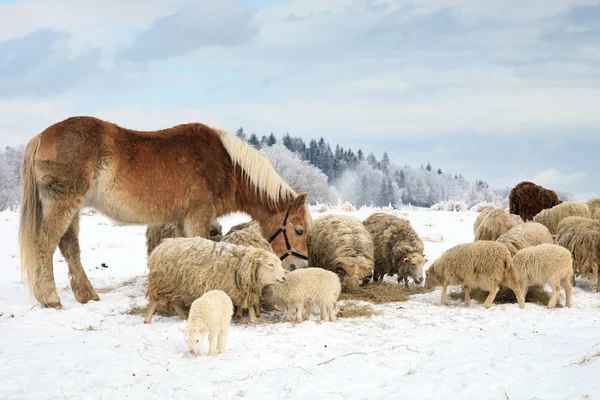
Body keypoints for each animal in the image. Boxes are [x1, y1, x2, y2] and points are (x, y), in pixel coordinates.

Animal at [18, 115, 312, 310]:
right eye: (298, 230)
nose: (299, 267)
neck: (226, 162)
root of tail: (41, 137)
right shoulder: (198, 216)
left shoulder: (182, 221)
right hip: (63, 204)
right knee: (46, 244)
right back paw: (50, 297)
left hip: (73, 208)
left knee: (69, 247)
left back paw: (86, 294)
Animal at [144, 238, 288, 324]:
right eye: (270, 264)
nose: (284, 278)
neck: (241, 264)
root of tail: (159, 248)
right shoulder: (240, 289)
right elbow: (250, 304)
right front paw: (254, 319)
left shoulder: (242, 289)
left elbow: (248, 303)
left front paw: (247, 317)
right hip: (163, 282)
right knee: (155, 301)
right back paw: (147, 319)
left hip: (176, 284)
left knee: (174, 301)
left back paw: (183, 317)